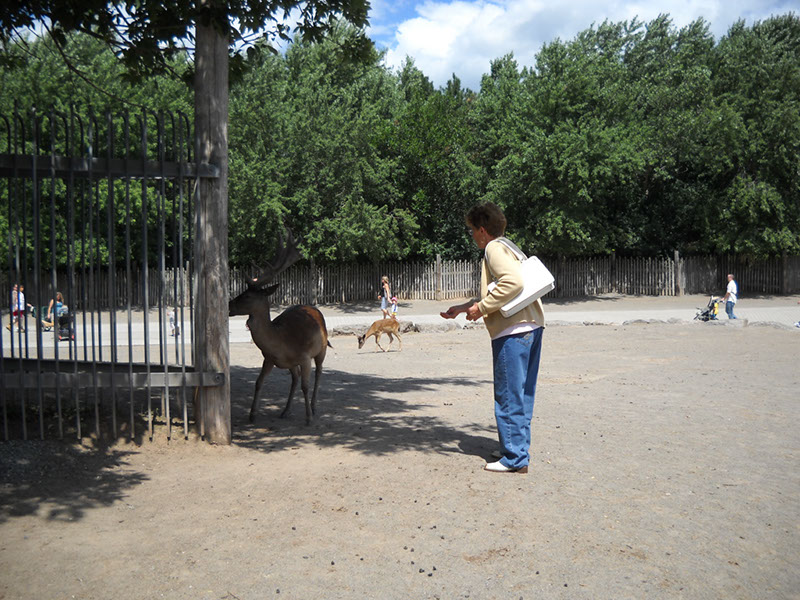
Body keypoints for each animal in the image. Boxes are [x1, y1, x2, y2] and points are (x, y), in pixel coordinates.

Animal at [228, 229, 331, 425]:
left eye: (247, 296)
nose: (228, 305)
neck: (281, 342)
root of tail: (314, 308)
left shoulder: (305, 357)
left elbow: (306, 386)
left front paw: (308, 418)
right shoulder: (268, 358)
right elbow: (258, 382)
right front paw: (252, 415)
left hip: (321, 349)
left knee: (319, 373)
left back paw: (313, 407)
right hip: (292, 364)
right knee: (295, 379)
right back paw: (285, 410)